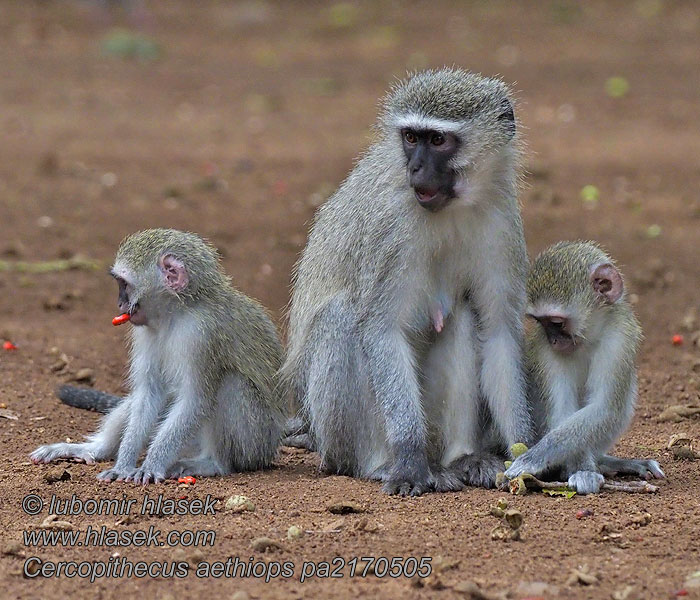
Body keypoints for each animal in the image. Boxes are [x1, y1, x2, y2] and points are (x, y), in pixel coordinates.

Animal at [32, 227, 284, 486]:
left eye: (124, 284)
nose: (119, 304)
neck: (177, 312)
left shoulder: (201, 334)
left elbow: (195, 400)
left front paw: (151, 465)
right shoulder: (145, 331)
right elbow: (149, 393)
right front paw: (123, 465)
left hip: (256, 443)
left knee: (231, 383)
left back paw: (215, 463)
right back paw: (94, 449)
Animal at [282, 67, 532, 496]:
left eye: (438, 140)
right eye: (411, 138)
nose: (414, 169)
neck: (453, 209)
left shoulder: (502, 223)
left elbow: (499, 332)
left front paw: (525, 454)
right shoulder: (391, 224)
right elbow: (382, 329)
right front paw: (410, 462)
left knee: (464, 316)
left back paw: (462, 458)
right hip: (330, 436)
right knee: (341, 317)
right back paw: (381, 464)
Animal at [506, 241, 664, 494]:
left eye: (557, 323)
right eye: (541, 322)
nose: (554, 341)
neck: (589, 338)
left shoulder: (620, 336)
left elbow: (605, 409)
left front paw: (532, 459)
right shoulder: (546, 351)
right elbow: (563, 410)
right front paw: (582, 471)